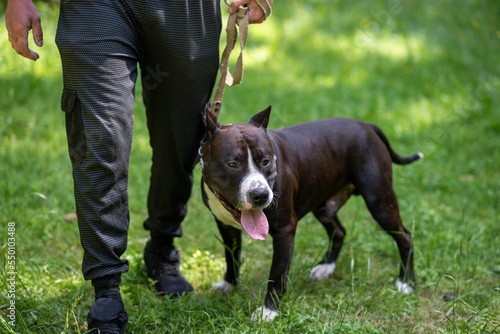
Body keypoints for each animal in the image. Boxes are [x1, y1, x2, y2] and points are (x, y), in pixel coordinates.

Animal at [199, 106, 422, 320]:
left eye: (265, 161)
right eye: (232, 164)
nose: (260, 195)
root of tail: (366, 125)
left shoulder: (285, 231)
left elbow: (277, 273)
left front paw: (268, 311)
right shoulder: (226, 226)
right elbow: (231, 257)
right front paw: (229, 284)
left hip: (380, 202)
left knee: (405, 236)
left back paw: (406, 281)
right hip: (323, 206)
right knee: (339, 231)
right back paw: (326, 267)